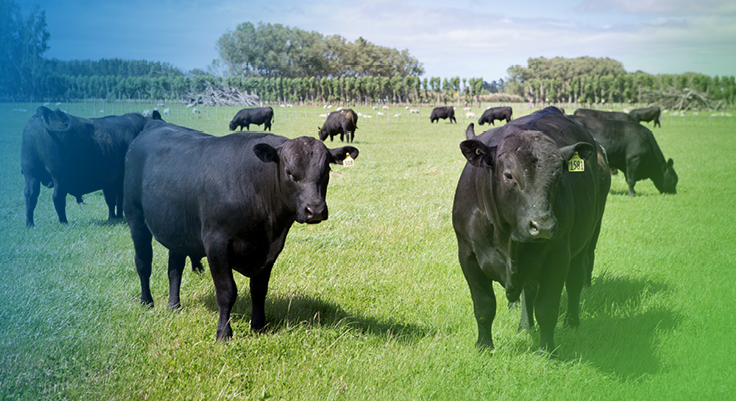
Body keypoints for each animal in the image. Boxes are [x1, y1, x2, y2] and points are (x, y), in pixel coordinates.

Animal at [21, 104, 161, 227]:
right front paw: (119, 217)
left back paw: (29, 224)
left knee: (30, 195)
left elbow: (110, 200)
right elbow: (119, 200)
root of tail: (47, 111)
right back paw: (63, 222)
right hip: (59, 177)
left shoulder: (109, 181)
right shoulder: (120, 180)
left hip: (30, 173)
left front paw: (112, 217)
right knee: (57, 197)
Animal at [124, 120, 360, 340]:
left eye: (326, 171)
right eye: (290, 173)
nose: (315, 210)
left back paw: (174, 305)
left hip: (177, 226)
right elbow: (227, 291)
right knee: (143, 262)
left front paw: (258, 325)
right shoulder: (216, 244)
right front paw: (223, 333)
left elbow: (259, 290)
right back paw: (147, 301)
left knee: (175, 267)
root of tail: (155, 124)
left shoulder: (270, 249)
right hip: (135, 217)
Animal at [454, 107, 608, 354]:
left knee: (575, 282)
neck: (507, 236)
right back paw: (525, 327)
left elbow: (546, 308)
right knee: (529, 291)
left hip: (585, 240)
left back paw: (572, 321)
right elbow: (484, 307)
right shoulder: (468, 255)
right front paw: (484, 346)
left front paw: (546, 350)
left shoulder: (558, 256)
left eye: (558, 175)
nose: (542, 226)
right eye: (509, 175)